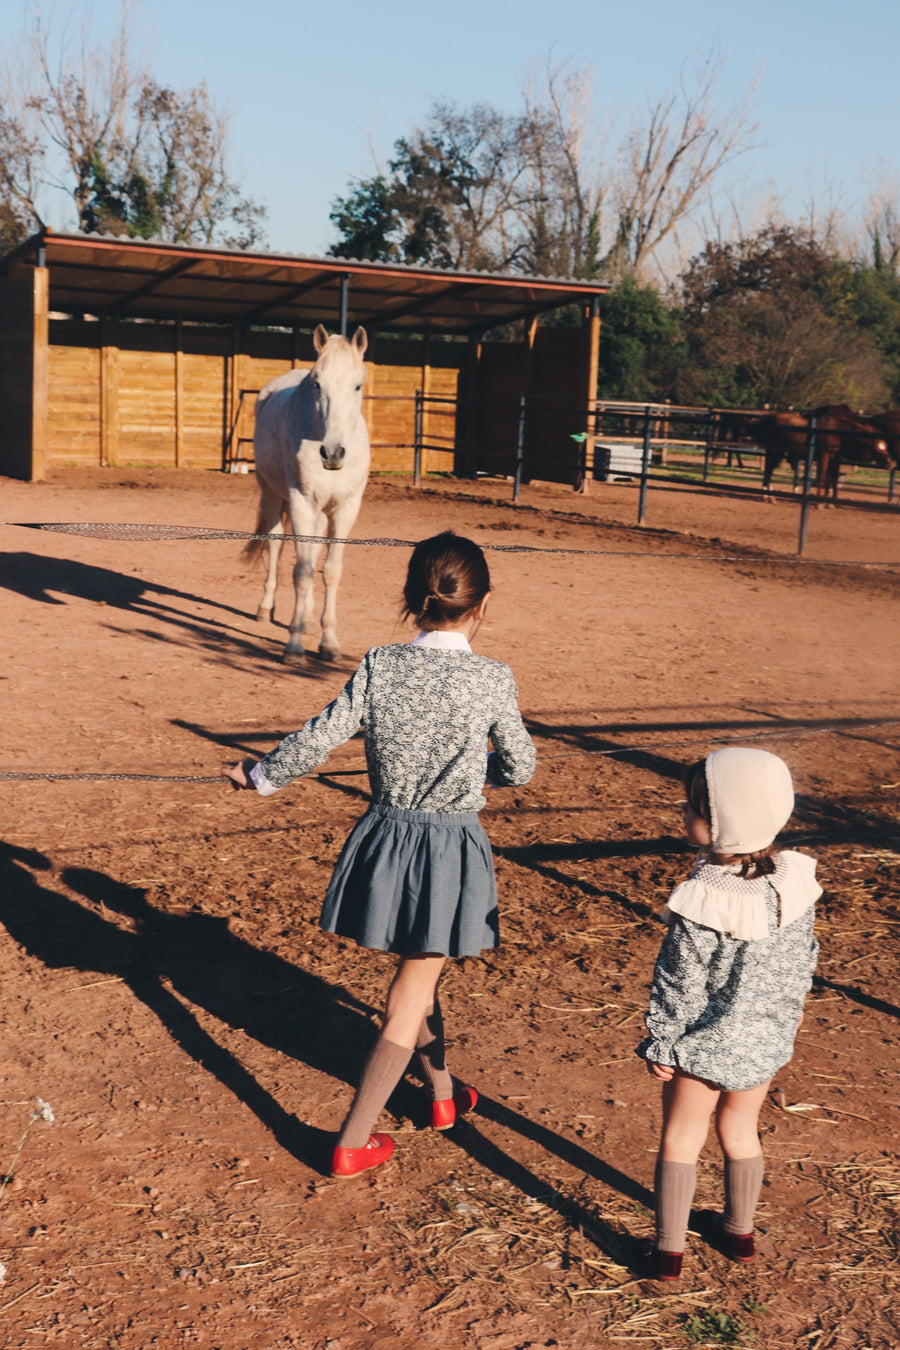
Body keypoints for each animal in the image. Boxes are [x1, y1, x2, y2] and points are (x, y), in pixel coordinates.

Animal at [246, 326, 369, 664]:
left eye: (357, 385)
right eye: (317, 384)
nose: (333, 453)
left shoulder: (345, 509)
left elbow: (330, 571)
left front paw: (329, 642)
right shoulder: (301, 503)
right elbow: (301, 572)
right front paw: (294, 645)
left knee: (313, 556)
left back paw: (310, 620)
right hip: (273, 495)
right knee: (275, 544)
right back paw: (266, 608)